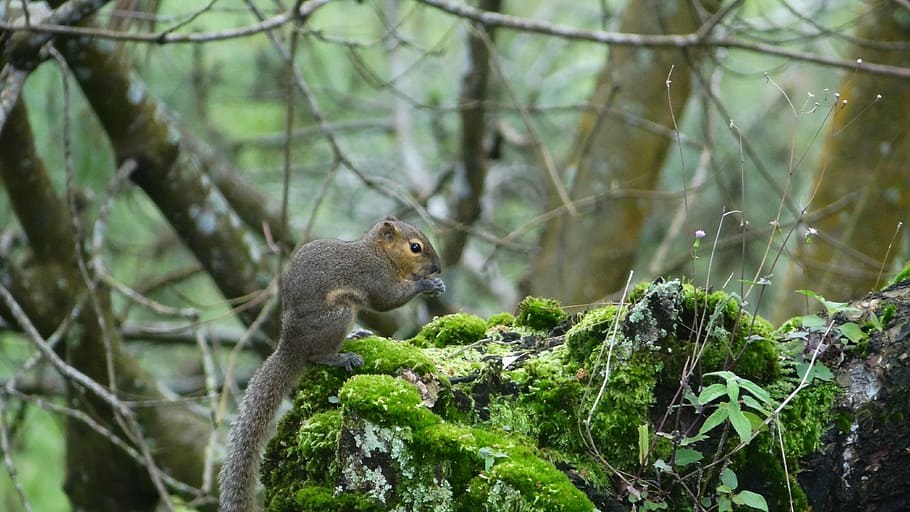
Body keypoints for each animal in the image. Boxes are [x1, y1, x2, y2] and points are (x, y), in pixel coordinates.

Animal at [218, 217, 445, 512]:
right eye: (415, 247)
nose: (437, 267)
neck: (380, 253)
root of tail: (291, 344)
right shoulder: (374, 276)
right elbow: (387, 299)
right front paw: (426, 285)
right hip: (339, 316)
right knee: (317, 356)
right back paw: (342, 356)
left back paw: (355, 336)